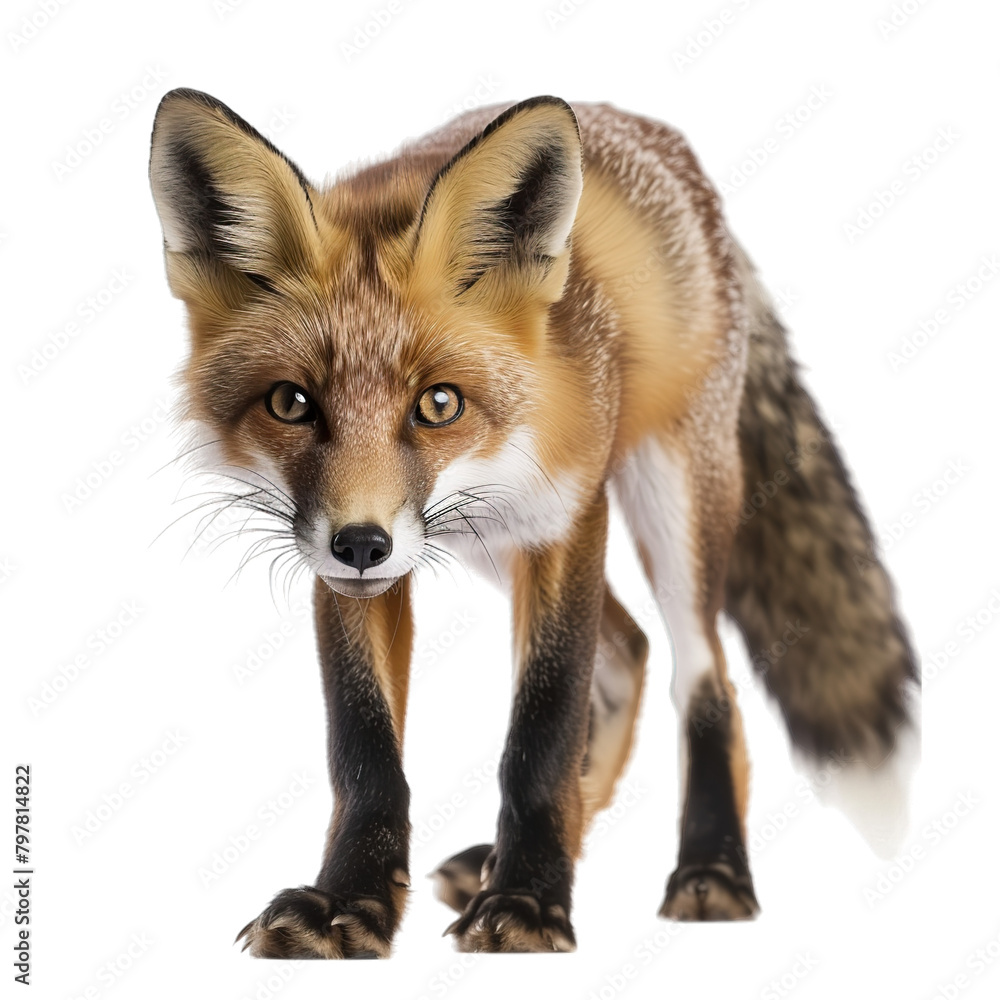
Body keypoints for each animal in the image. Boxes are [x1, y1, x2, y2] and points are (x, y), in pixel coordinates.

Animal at [149, 89, 919, 957]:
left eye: (438, 404)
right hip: (486, 541)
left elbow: (542, 731)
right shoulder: (347, 560)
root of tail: (656, 137)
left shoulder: (567, 520)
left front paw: (527, 899)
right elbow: (364, 749)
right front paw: (349, 901)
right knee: (627, 649)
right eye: (291, 402)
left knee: (703, 673)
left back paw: (711, 868)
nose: (362, 543)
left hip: (674, 498)